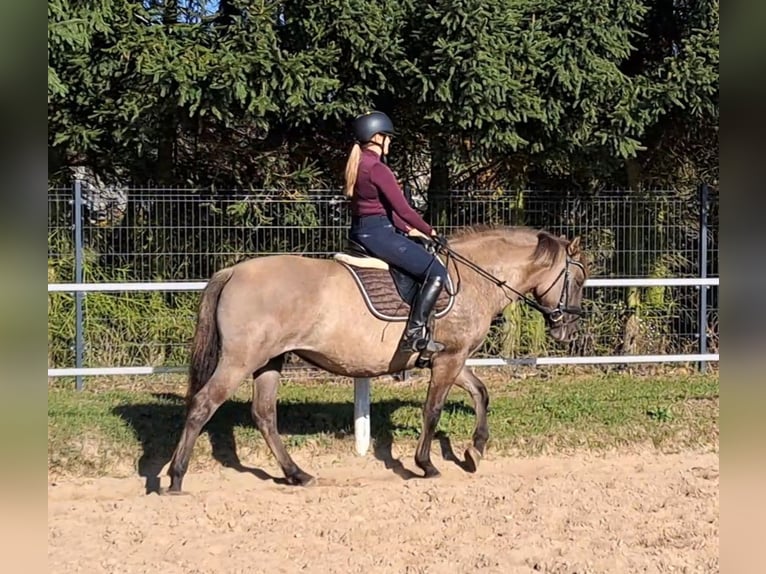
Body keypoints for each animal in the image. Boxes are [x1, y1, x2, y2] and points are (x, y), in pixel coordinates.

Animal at [166, 227, 588, 492]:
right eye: (580, 280)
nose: (567, 331)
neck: (472, 279)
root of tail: (233, 271)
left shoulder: (452, 357)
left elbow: (480, 393)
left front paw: (474, 451)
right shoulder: (449, 360)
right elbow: (433, 410)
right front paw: (426, 464)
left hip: (270, 361)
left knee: (264, 415)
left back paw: (297, 474)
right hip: (240, 360)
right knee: (203, 405)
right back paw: (175, 477)